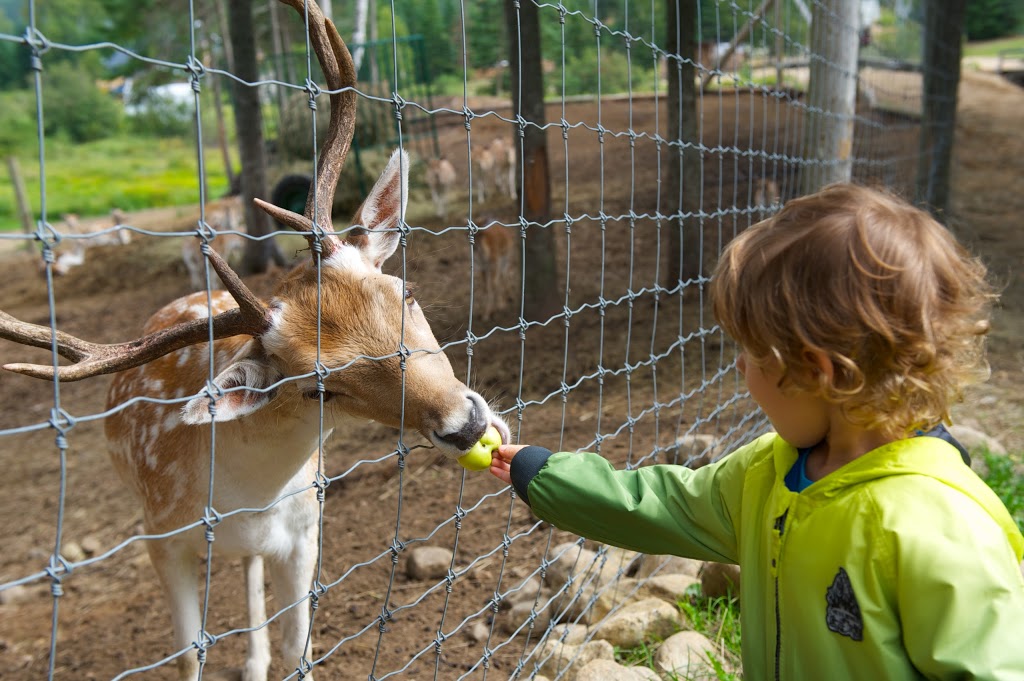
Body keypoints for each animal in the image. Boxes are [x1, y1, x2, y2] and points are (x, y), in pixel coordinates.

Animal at [0, 2, 512, 675]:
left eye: (406, 292)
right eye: (319, 388)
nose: (468, 424)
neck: (246, 496)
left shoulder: (306, 530)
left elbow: (302, 645)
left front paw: (278, 654)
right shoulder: (159, 537)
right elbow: (188, 655)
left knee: (249, 569)